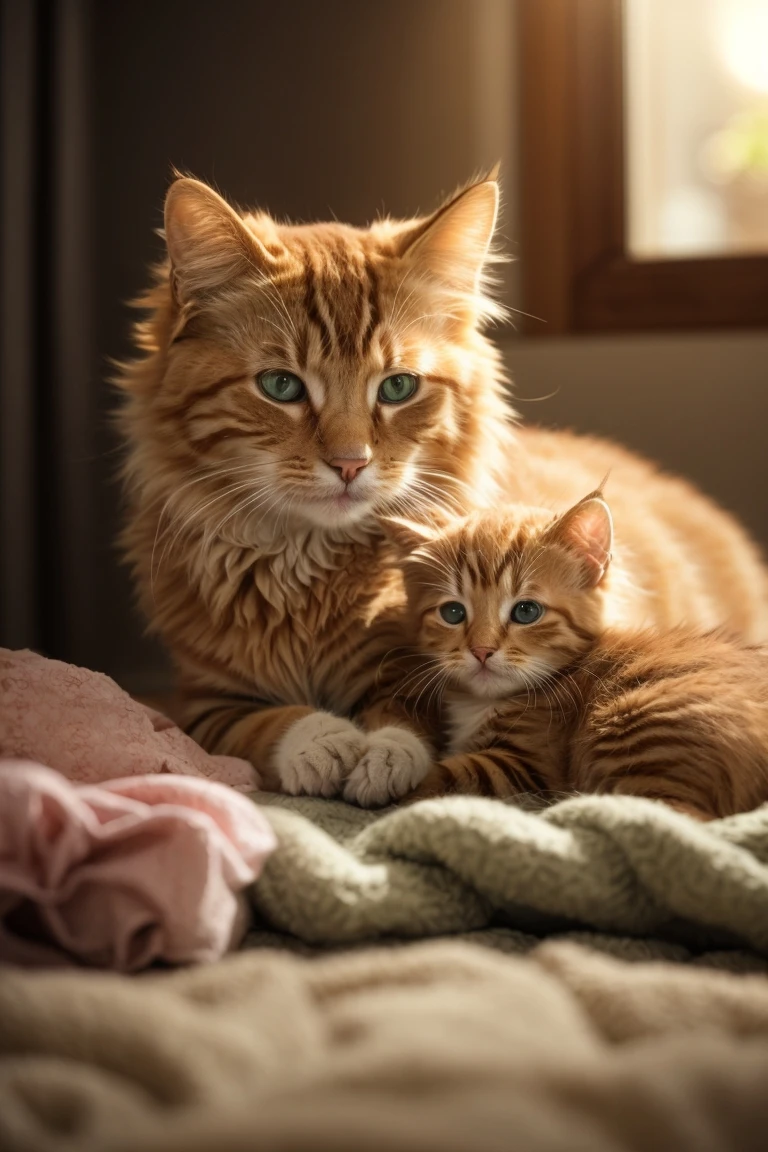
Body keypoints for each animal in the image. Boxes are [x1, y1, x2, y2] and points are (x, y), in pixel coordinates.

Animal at [393, 497, 768, 820]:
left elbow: (444, 774)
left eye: (526, 611)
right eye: (453, 613)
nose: (481, 651)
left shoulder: (530, 765)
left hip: (637, 716)